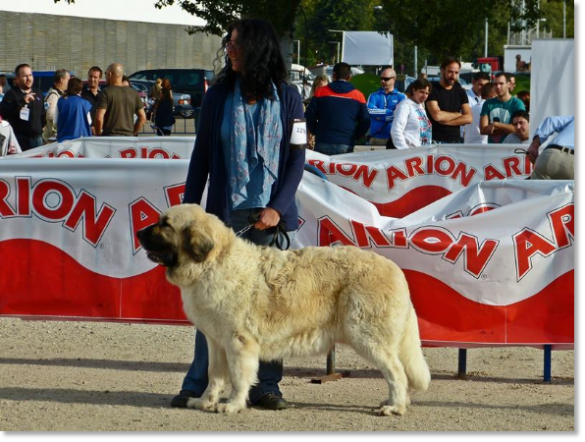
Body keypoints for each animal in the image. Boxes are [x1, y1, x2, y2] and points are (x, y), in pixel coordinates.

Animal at [137, 204, 428, 414]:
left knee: (396, 372)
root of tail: (394, 268)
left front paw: (232, 405)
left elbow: (239, 377)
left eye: (164, 225)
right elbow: (215, 375)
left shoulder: (239, 342)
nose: (139, 233)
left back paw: (395, 407)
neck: (213, 263)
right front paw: (205, 402)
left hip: (367, 336)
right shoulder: (216, 342)